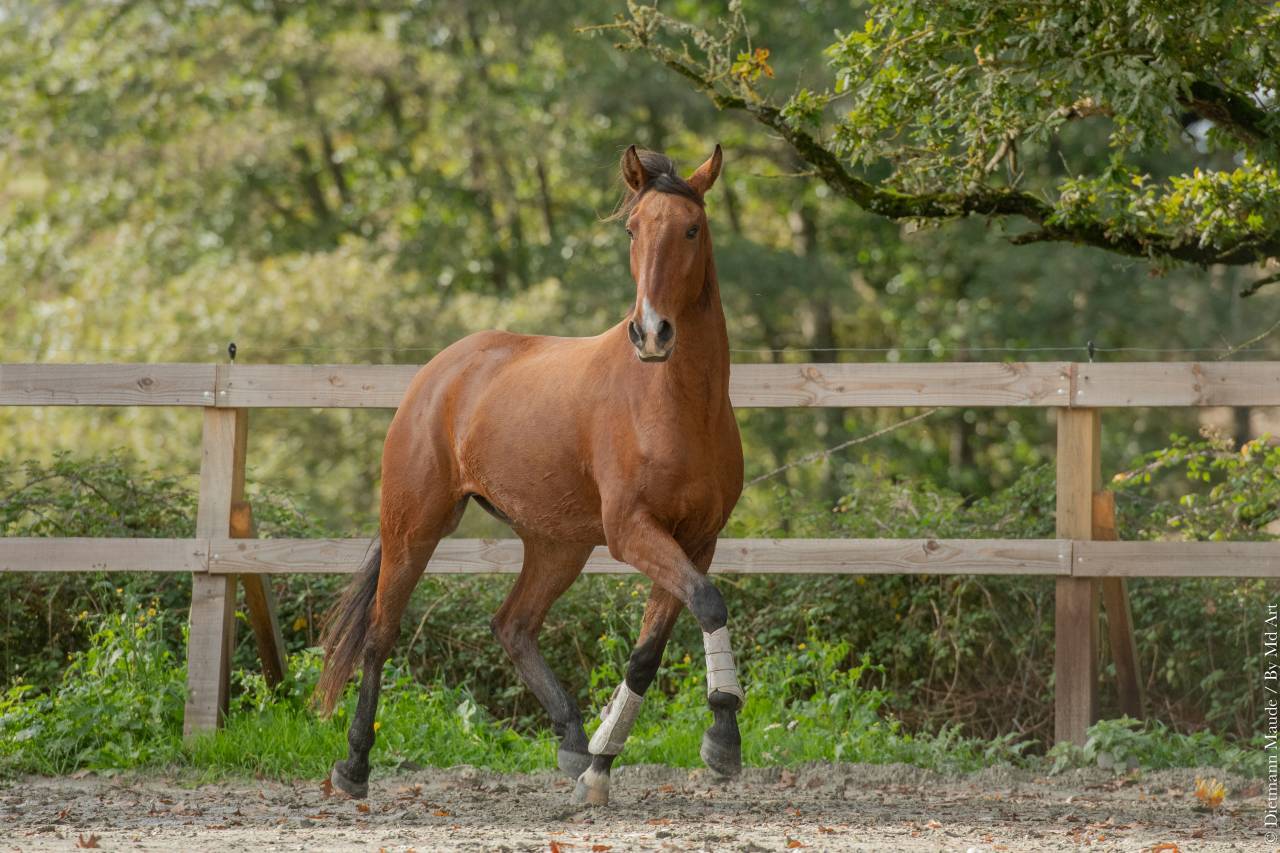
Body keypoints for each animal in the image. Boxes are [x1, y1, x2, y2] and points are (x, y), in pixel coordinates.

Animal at [315, 144, 745, 807]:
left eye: (692, 228)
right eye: (632, 229)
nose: (651, 333)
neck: (676, 404)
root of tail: (438, 372)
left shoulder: (697, 539)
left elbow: (653, 648)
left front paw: (606, 766)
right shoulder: (633, 532)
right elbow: (707, 603)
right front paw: (722, 735)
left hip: (556, 544)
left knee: (513, 625)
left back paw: (574, 743)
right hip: (414, 527)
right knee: (380, 633)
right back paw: (355, 766)